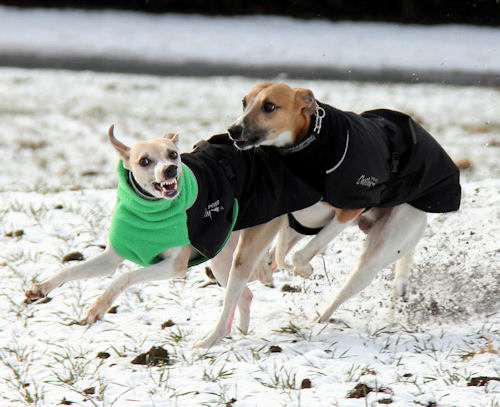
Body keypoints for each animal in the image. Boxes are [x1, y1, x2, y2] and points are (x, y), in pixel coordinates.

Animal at [25, 125, 320, 348]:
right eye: (144, 161)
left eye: (173, 154)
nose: (170, 170)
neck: (150, 209)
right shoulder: (111, 257)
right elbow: (72, 270)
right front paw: (41, 288)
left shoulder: (173, 265)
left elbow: (123, 277)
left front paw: (98, 308)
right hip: (221, 256)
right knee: (244, 295)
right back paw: (240, 331)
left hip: (246, 247)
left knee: (236, 292)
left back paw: (211, 340)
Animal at [228, 82, 460, 326]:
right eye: (244, 103)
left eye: (269, 106)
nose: (233, 130)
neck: (308, 147)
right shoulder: (291, 215)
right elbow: (275, 250)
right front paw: (266, 267)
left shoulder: (348, 211)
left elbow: (300, 255)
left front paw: (303, 269)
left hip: (382, 248)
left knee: (350, 284)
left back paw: (319, 318)